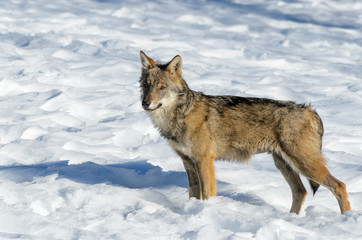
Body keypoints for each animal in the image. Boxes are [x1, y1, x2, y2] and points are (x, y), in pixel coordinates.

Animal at [139, 51, 350, 214]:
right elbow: (193, 194)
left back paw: (345, 219)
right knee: (301, 191)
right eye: (146, 85)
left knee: (339, 185)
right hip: (283, 164)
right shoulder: (188, 161)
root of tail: (310, 110)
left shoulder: (204, 160)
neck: (181, 115)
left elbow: (207, 194)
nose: (145, 103)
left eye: (162, 87)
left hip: (305, 164)